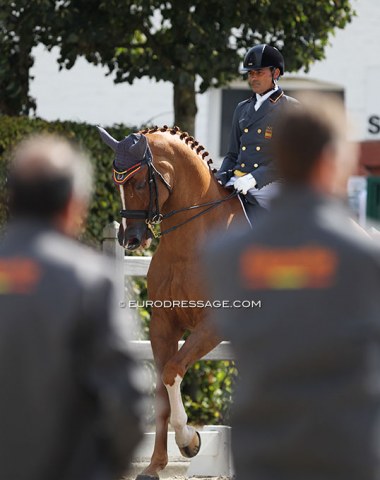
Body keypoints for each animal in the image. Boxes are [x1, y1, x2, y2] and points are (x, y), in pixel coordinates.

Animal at [98, 125, 243, 478]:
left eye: (139, 183)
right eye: (116, 184)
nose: (131, 239)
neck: (188, 247)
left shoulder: (213, 324)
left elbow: (171, 371)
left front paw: (189, 440)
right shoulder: (163, 325)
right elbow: (160, 389)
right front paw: (155, 464)